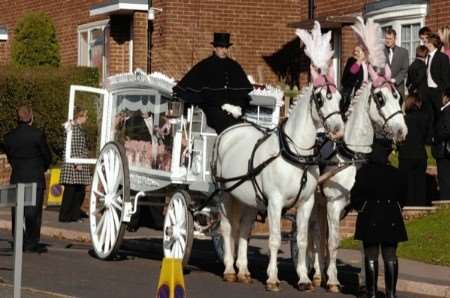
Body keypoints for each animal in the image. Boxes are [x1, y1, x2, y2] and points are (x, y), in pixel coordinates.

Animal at [214, 21, 344, 292]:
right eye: (319, 98)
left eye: (339, 97)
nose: (338, 129)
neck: (295, 154)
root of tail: (230, 130)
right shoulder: (274, 202)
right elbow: (274, 240)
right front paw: (273, 278)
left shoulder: (306, 203)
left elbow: (304, 240)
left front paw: (304, 278)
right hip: (224, 193)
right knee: (227, 228)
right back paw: (230, 269)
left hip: (248, 198)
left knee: (243, 229)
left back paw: (243, 270)